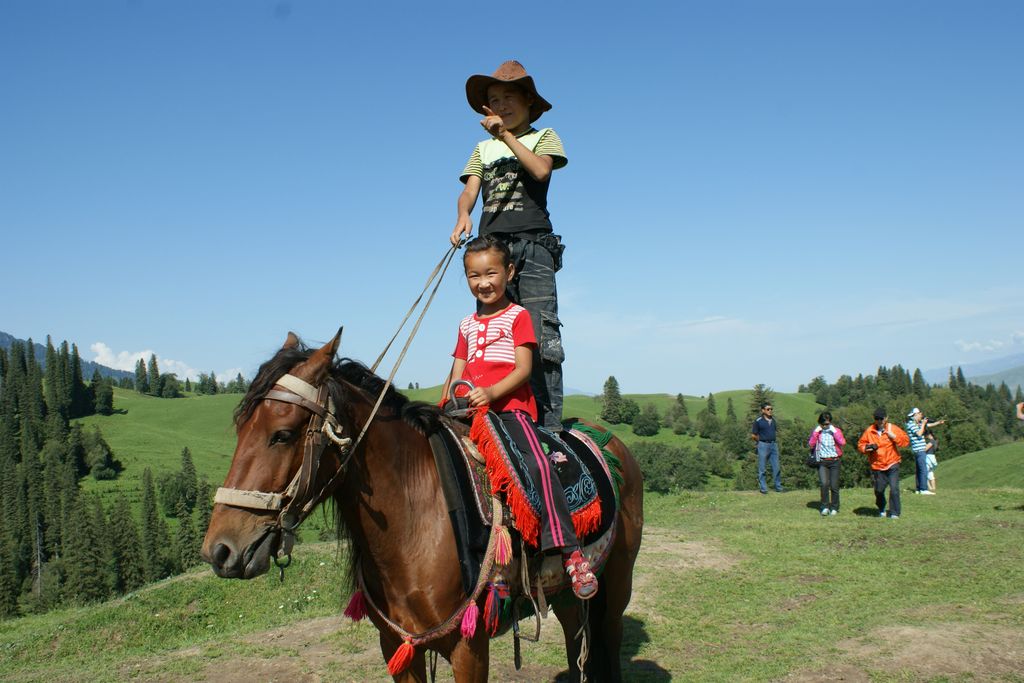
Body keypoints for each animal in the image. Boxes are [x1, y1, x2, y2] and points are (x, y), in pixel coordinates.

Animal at [201, 329, 638, 679]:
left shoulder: (468, 648)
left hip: (617, 582)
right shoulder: (397, 646)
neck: (416, 521)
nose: (219, 551)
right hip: (565, 598)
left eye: (283, 434)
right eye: (240, 428)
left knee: (610, 639)